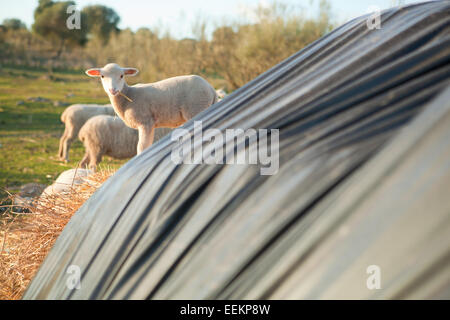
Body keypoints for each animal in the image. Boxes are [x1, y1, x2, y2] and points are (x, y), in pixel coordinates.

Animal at [85, 63, 218, 154]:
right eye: (102, 76)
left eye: (122, 76)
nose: (113, 90)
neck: (129, 95)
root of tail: (211, 89)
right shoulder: (150, 124)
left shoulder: (145, 122)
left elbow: (141, 147)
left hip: (196, 109)